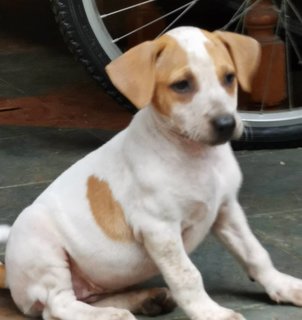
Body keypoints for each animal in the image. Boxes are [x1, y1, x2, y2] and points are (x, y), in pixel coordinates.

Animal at [0, 27, 302, 320]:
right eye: (182, 85)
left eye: (229, 78)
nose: (226, 124)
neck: (196, 156)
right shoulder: (159, 228)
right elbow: (187, 276)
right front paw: (211, 313)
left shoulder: (227, 210)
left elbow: (255, 253)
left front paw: (284, 286)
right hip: (42, 243)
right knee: (57, 306)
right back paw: (111, 315)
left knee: (86, 298)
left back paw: (144, 300)